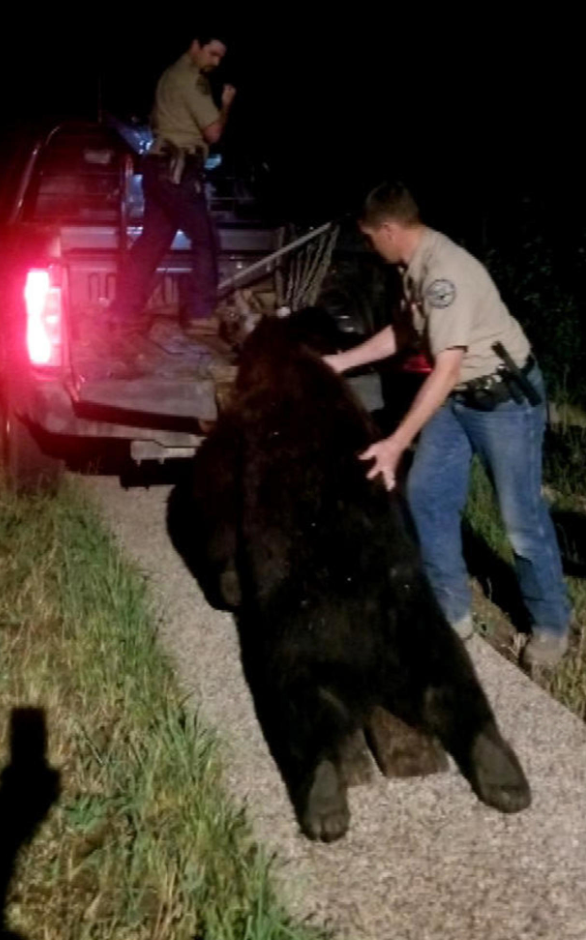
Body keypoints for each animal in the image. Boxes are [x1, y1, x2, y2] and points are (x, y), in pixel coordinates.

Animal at [167, 312, 532, 840]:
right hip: (419, 625)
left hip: (297, 640)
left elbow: (209, 500)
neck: (288, 361)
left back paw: (324, 804)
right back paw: (504, 774)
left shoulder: (238, 438)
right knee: (458, 685)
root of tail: (372, 672)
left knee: (300, 712)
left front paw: (228, 584)